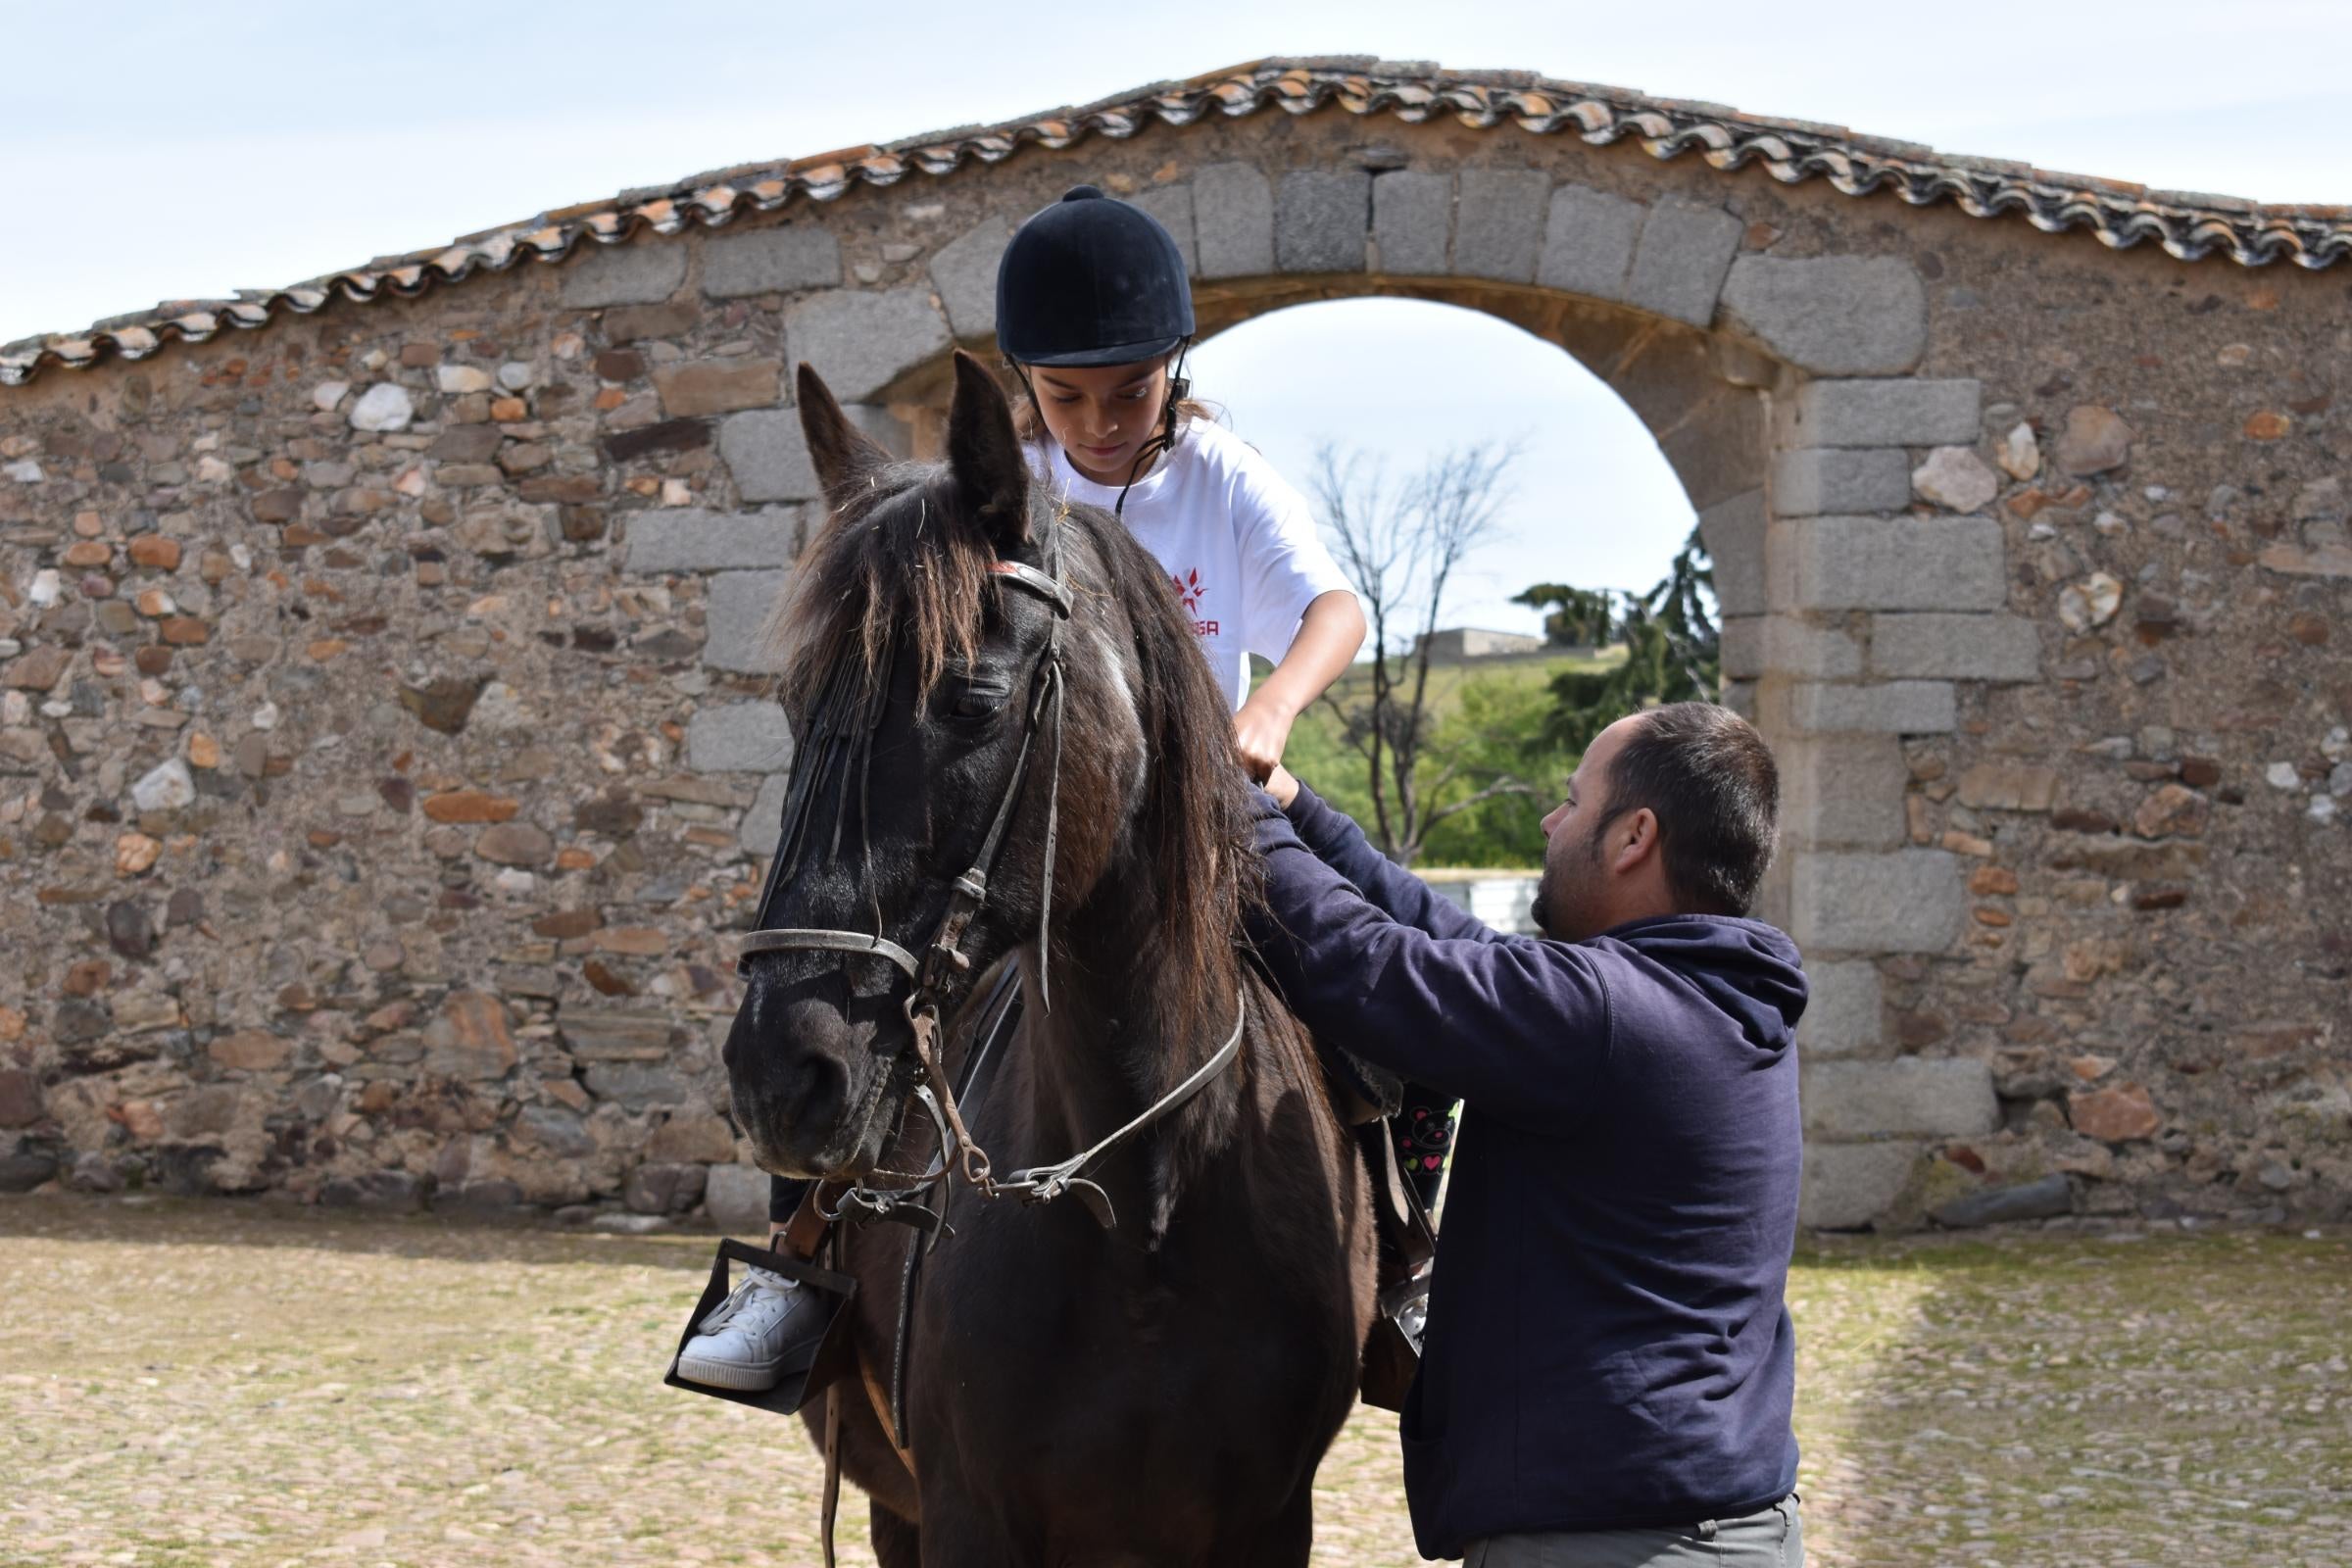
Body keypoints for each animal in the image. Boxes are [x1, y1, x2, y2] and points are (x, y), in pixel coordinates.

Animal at [719, 360, 1373, 1568]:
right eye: (794, 705)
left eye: (970, 699)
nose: (780, 1074)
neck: (1144, 1200)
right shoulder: (965, 1517)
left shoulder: (1269, 1522)